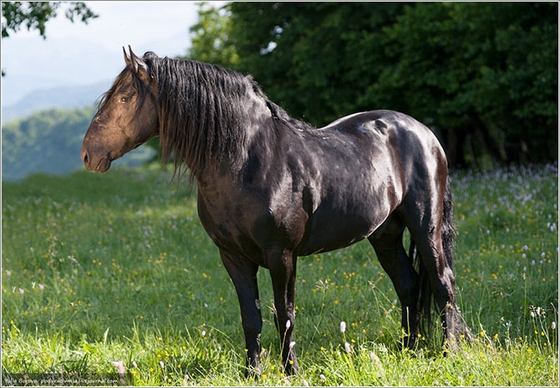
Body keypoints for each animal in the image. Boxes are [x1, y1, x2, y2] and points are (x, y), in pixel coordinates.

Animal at [81, 46, 470, 376]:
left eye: (126, 96)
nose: (88, 154)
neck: (248, 161)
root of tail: (424, 133)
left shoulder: (281, 255)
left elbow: (285, 313)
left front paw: (290, 371)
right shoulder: (233, 257)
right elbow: (250, 317)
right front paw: (252, 372)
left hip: (425, 226)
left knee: (442, 283)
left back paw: (448, 353)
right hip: (384, 234)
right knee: (408, 285)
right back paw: (410, 351)